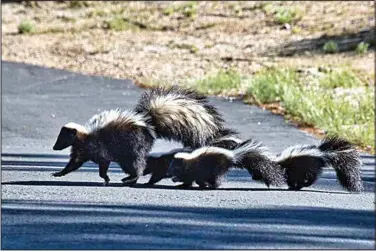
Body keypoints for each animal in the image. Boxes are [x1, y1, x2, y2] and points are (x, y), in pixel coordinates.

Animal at [52, 85, 229, 185]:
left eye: (62, 138)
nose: (54, 147)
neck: (84, 137)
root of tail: (148, 124)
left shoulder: (98, 148)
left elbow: (103, 163)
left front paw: (106, 178)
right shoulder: (81, 150)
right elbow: (73, 163)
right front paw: (59, 173)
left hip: (132, 147)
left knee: (137, 164)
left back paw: (130, 179)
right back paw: (129, 178)